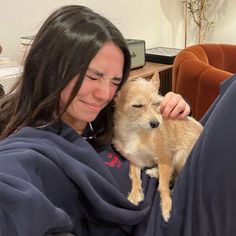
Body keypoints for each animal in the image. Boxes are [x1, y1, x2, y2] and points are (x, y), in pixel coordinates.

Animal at [113, 73, 203, 221]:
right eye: (137, 106)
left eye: (157, 104)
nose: (156, 123)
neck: (136, 132)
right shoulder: (135, 160)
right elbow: (135, 177)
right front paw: (135, 194)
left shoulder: (165, 158)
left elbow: (163, 185)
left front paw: (167, 205)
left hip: (180, 155)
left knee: (175, 175)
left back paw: (156, 172)